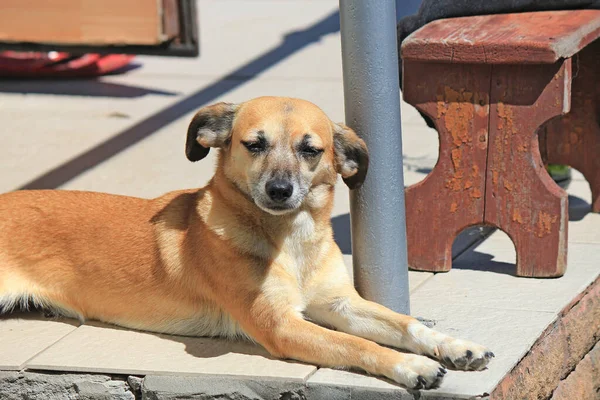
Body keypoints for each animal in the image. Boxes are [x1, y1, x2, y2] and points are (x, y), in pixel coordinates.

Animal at [0, 96, 492, 388]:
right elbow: (360, 346)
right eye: (253, 144)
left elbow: (405, 324)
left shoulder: (340, 304)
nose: (279, 191)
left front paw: (453, 345)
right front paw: (413, 366)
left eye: (310, 149)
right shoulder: (281, 325)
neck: (293, 242)